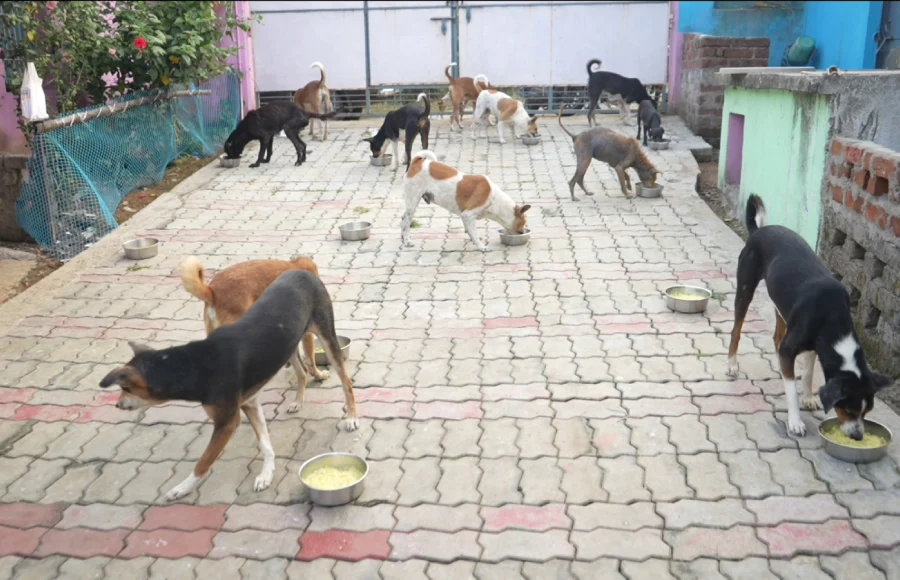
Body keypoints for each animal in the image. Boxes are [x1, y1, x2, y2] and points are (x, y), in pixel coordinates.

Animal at [402, 150, 530, 251]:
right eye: (524, 222)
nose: (524, 232)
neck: (495, 200)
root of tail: (418, 162)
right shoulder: (468, 215)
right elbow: (474, 232)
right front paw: (481, 246)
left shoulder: (465, 216)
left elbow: (470, 230)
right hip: (413, 201)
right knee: (406, 222)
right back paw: (407, 240)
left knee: (403, 219)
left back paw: (403, 239)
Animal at [726, 195, 893, 438]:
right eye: (848, 409)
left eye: (867, 411)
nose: (858, 436)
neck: (833, 317)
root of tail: (760, 230)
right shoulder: (795, 347)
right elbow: (791, 389)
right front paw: (795, 420)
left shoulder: (815, 346)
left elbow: (807, 372)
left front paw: (808, 396)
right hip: (746, 288)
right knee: (736, 329)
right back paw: (731, 364)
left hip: (781, 304)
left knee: (777, 338)